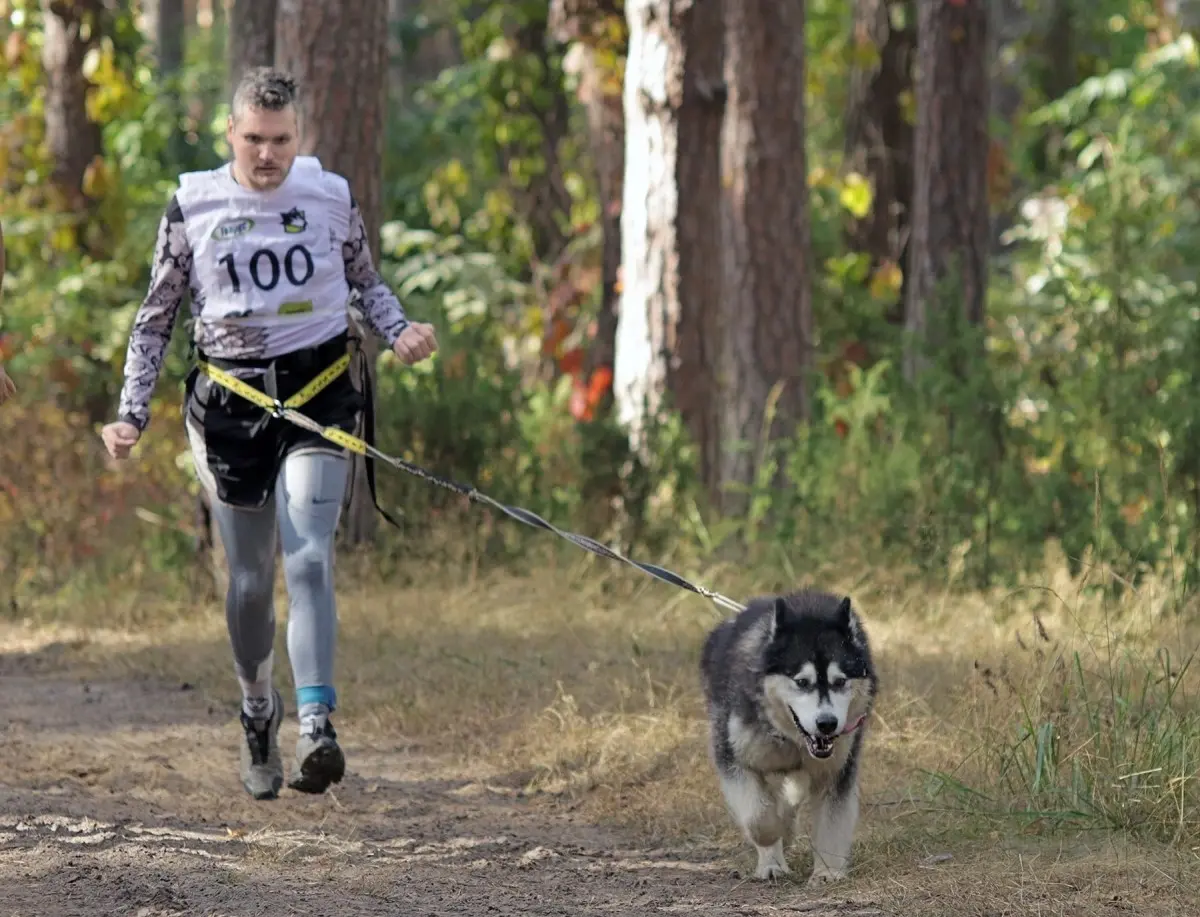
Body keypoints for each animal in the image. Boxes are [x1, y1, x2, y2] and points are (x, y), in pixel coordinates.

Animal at [700, 590, 878, 883]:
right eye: (802, 682)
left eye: (840, 681)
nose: (827, 724)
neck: (792, 740)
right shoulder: (733, 756)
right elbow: (759, 816)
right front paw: (774, 837)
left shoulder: (838, 769)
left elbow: (832, 821)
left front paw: (828, 871)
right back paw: (772, 862)